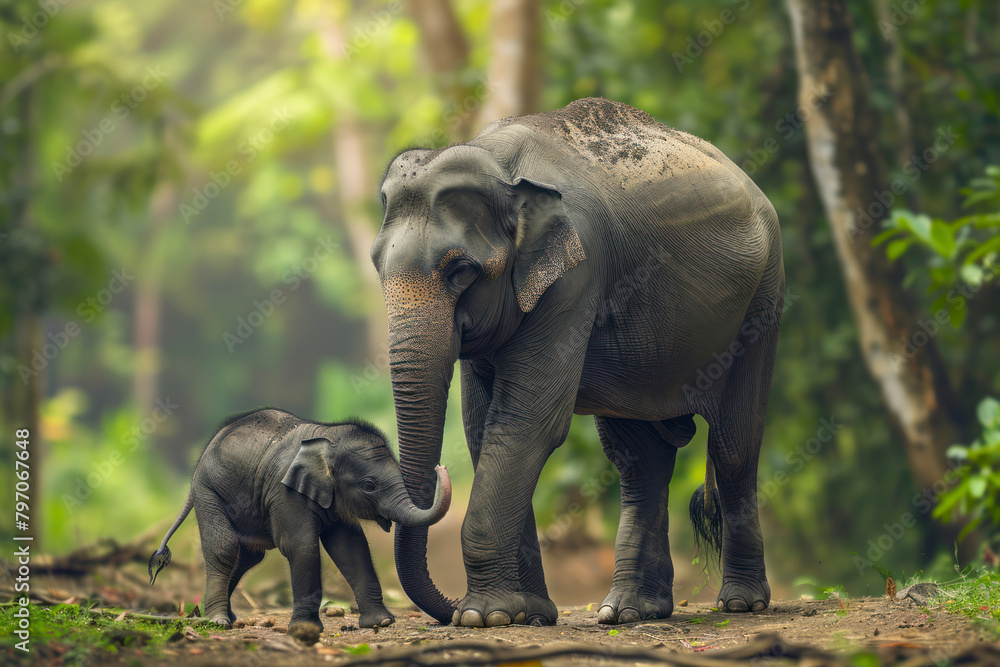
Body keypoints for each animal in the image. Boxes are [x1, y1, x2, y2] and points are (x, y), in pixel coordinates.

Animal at [147, 408, 451, 633]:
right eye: (369, 486)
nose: (441, 466)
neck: (327, 438)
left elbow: (350, 546)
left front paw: (381, 622)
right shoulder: (284, 491)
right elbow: (301, 546)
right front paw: (306, 629)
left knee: (248, 557)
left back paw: (222, 617)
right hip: (208, 491)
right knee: (225, 549)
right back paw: (218, 622)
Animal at [370, 98, 784, 628]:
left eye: (461, 271)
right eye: (377, 266)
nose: (449, 609)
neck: (501, 168)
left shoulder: (576, 276)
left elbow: (526, 422)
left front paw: (485, 616)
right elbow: (484, 428)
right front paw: (528, 614)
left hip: (763, 298)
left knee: (733, 445)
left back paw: (741, 603)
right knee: (639, 457)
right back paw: (631, 611)